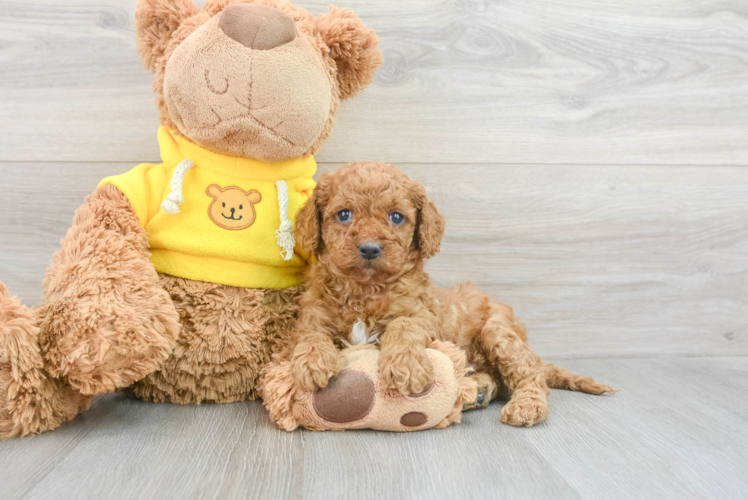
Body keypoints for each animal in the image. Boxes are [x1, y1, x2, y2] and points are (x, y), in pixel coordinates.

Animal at [290, 163, 612, 426]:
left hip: (498, 332)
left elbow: (403, 325)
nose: (370, 248)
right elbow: (310, 335)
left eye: (396, 217)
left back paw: (526, 406)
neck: (365, 288)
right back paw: (479, 390)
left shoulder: (424, 315)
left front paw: (406, 366)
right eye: (344, 214)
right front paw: (311, 363)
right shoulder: (312, 316)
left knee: (531, 375)